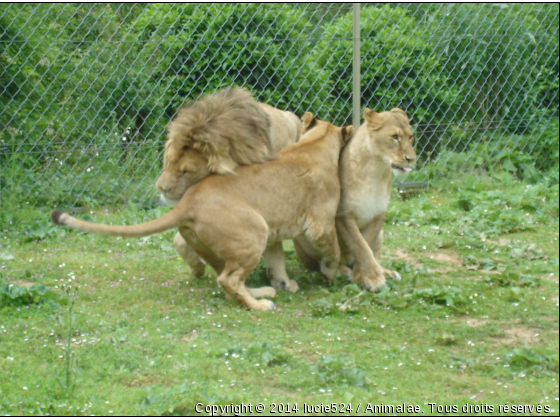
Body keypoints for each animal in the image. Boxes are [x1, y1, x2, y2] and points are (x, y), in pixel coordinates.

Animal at [50, 113, 352, 310]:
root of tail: (187, 203)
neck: (316, 142)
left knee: (227, 280)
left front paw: (284, 284)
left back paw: (260, 292)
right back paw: (259, 305)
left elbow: (277, 264)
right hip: (254, 231)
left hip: (229, 242)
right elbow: (334, 250)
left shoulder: (275, 234)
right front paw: (335, 273)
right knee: (228, 280)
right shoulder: (320, 222)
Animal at [294, 108, 416, 292]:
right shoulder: (343, 215)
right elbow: (359, 246)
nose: (412, 159)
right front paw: (371, 278)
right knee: (322, 261)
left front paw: (364, 276)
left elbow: (366, 245)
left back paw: (386, 271)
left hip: (381, 234)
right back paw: (342, 270)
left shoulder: (378, 215)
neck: (375, 171)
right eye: (395, 136)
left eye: (411, 137)